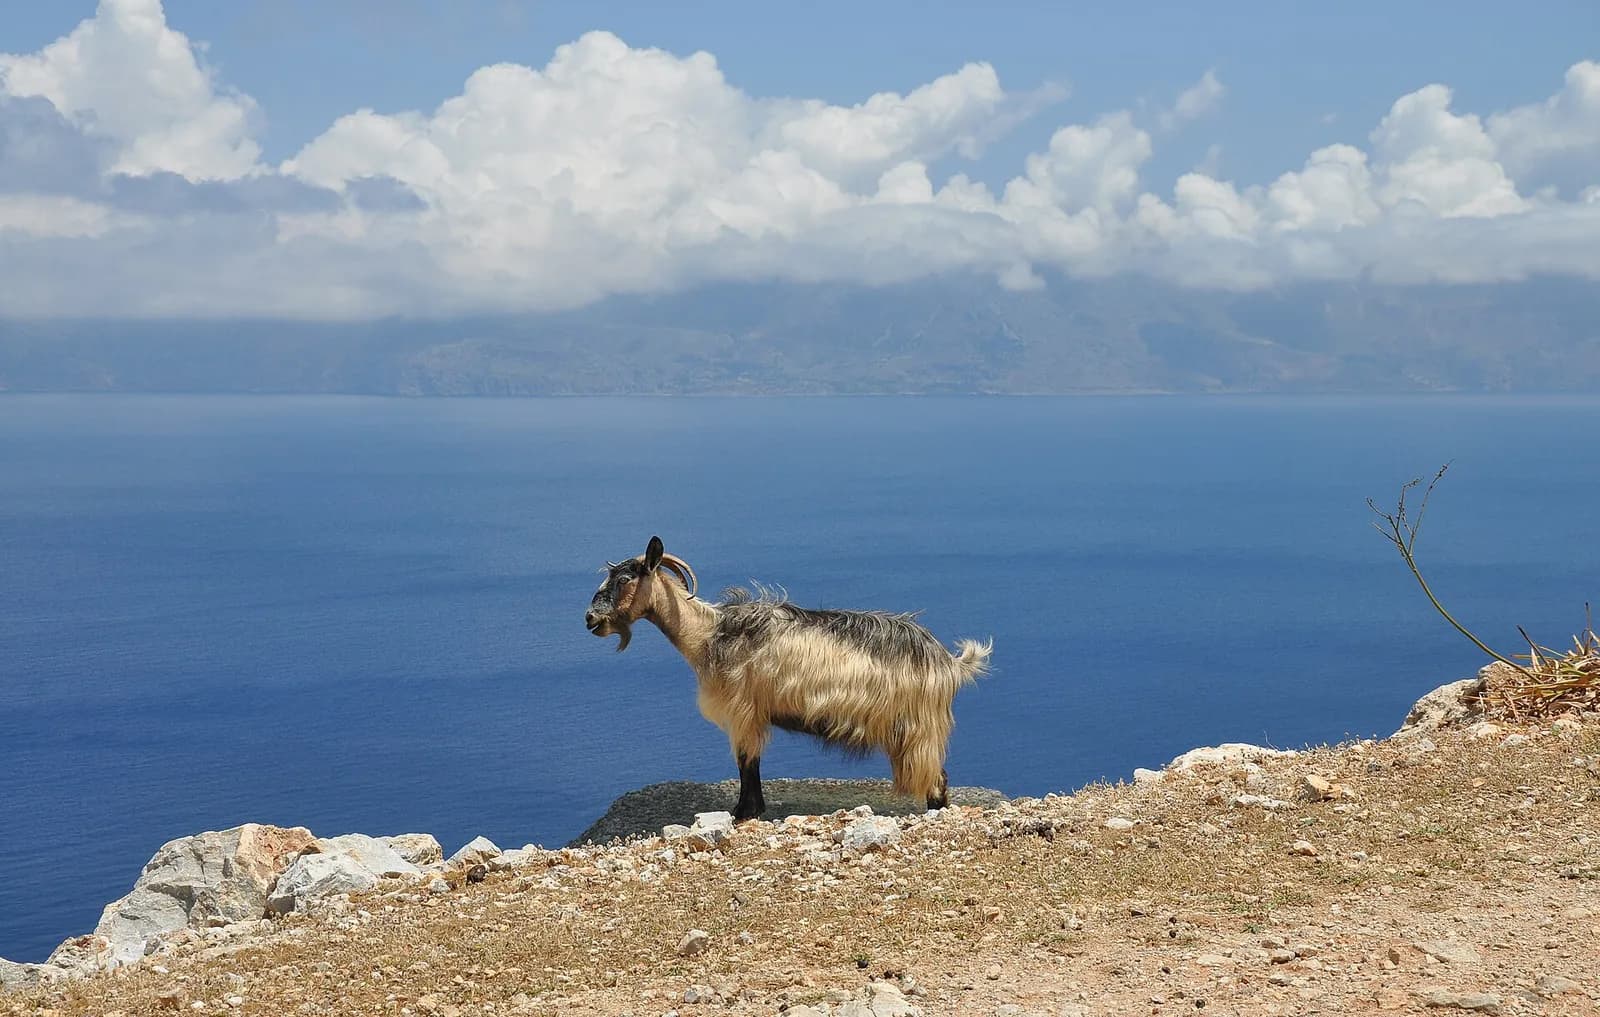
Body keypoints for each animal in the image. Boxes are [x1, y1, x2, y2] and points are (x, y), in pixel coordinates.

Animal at [584, 536, 990, 821]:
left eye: (624, 578)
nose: (590, 619)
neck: (709, 634)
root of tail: (949, 662)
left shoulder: (743, 713)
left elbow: (747, 764)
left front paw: (742, 813)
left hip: (918, 731)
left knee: (937, 781)